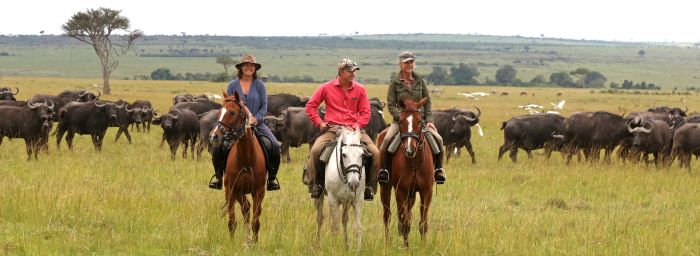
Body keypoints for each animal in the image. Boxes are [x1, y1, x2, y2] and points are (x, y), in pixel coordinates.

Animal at [209, 91, 266, 244]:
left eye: (232, 112)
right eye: (219, 112)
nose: (214, 136)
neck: (246, 159)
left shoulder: (259, 191)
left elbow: (256, 222)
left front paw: (254, 244)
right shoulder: (231, 190)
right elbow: (232, 221)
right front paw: (232, 243)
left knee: (248, 211)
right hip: (238, 192)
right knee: (245, 209)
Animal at [378, 97, 432, 247]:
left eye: (419, 121)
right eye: (401, 121)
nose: (409, 150)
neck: (415, 162)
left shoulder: (426, 192)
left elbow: (423, 223)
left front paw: (424, 247)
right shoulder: (401, 191)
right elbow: (405, 223)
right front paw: (406, 247)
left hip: (411, 195)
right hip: (386, 188)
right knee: (387, 216)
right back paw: (387, 243)